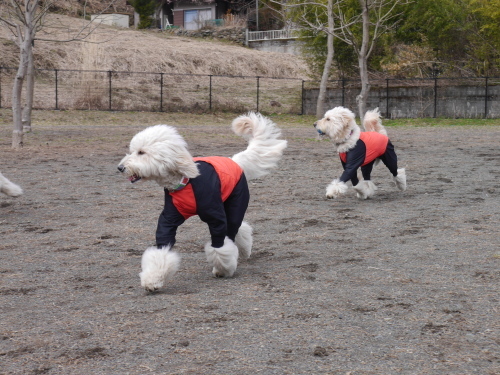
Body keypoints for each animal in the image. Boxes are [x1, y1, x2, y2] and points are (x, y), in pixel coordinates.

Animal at [117, 113, 288, 292]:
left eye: (141, 152)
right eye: (133, 151)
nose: (120, 167)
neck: (184, 181)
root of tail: (234, 161)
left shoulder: (216, 218)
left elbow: (220, 246)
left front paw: (222, 270)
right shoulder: (169, 219)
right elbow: (162, 247)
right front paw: (153, 280)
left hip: (236, 203)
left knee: (233, 227)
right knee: (241, 228)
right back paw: (244, 250)